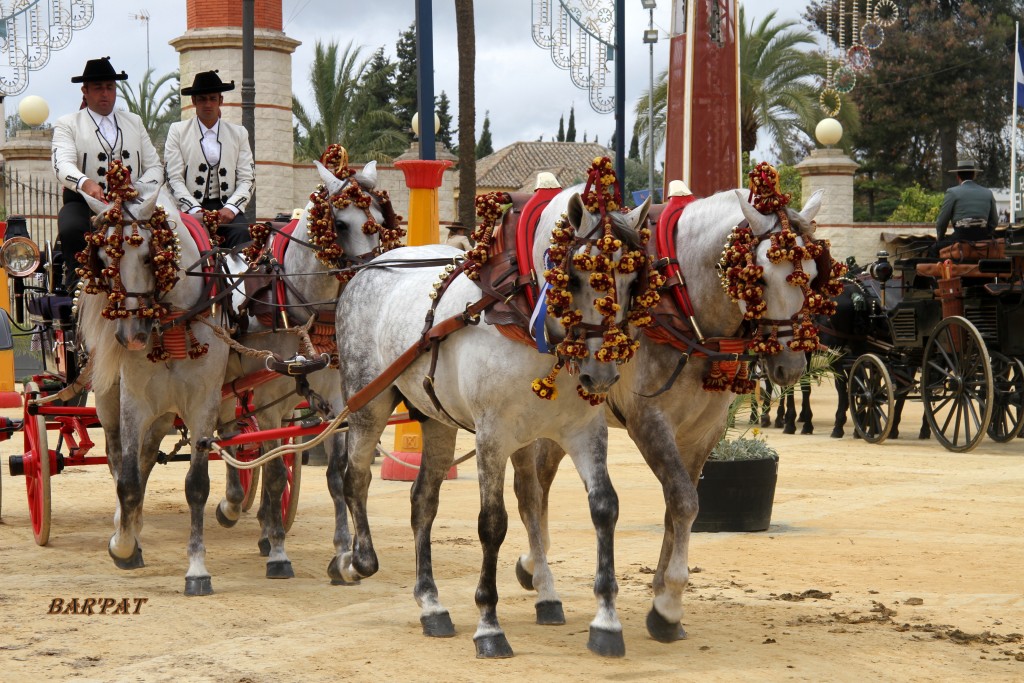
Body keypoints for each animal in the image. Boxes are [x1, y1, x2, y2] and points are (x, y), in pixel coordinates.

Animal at [335, 185, 651, 655]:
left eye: (631, 281)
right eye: (574, 278)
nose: (601, 374)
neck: (526, 320)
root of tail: (369, 266)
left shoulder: (581, 432)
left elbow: (601, 506)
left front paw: (606, 621)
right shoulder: (492, 437)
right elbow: (493, 523)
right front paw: (489, 625)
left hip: (438, 419)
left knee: (423, 501)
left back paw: (431, 603)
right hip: (367, 404)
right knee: (354, 477)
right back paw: (358, 561)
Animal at [512, 188, 831, 643]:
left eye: (812, 274)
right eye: (759, 279)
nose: (790, 364)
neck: (683, 301)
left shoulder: (702, 432)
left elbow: (679, 505)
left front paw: (662, 593)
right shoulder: (649, 422)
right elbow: (683, 501)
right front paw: (668, 605)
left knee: (541, 480)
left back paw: (531, 566)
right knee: (530, 488)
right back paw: (541, 580)